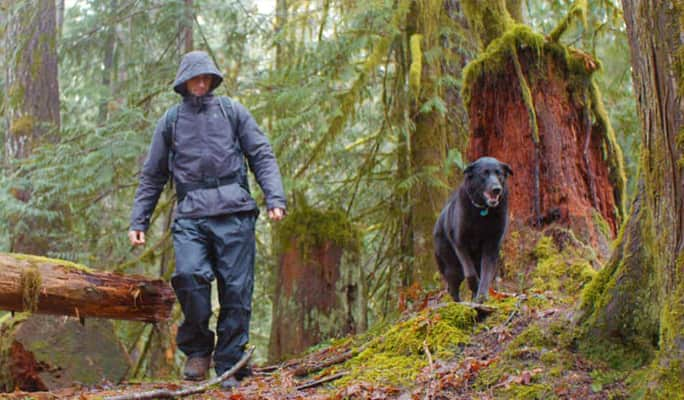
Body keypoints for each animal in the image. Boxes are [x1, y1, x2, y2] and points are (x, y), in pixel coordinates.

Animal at [436, 158, 510, 302]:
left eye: (499, 173)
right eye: (484, 174)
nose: (496, 189)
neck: (482, 211)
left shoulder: (491, 246)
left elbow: (486, 274)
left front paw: (481, 296)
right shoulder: (460, 243)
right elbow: (470, 273)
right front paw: (475, 286)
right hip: (452, 267)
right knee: (452, 287)